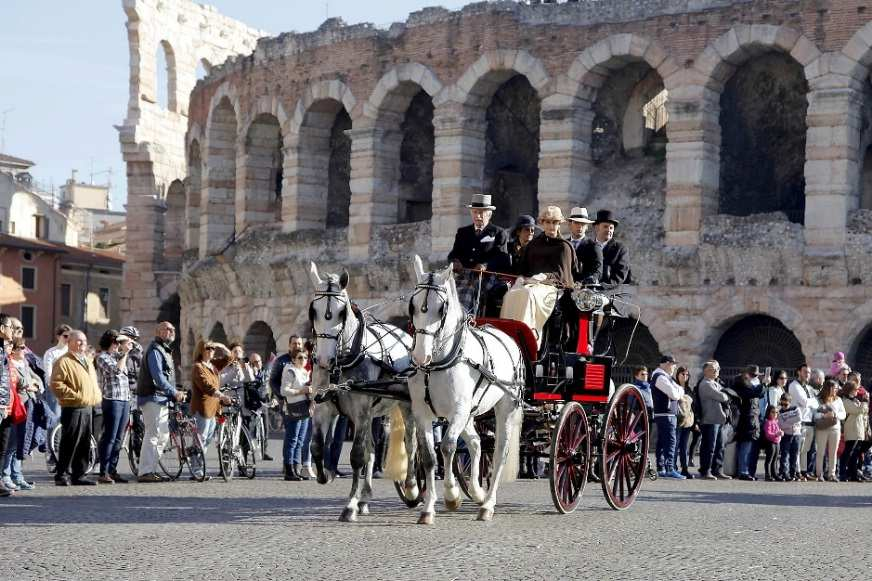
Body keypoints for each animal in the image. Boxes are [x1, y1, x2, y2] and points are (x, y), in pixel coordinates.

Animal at [306, 262, 418, 520]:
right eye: (313, 311)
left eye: (342, 312)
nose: (324, 359)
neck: (342, 363)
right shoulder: (323, 408)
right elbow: (317, 447)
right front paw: (326, 475)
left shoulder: (362, 411)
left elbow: (357, 456)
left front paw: (349, 505)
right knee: (373, 448)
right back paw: (365, 497)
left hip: (405, 406)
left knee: (410, 443)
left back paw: (411, 487)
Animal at [408, 256, 520, 524]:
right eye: (412, 305)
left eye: (441, 308)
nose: (420, 356)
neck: (438, 364)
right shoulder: (422, 413)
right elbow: (429, 457)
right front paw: (428, 508)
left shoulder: (457, 411)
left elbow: (448, 446)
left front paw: (451, 495)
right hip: (470, 412)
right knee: (477, 443)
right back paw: (478, 492)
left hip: (505, 408)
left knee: (499, 452)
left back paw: (487, 504)